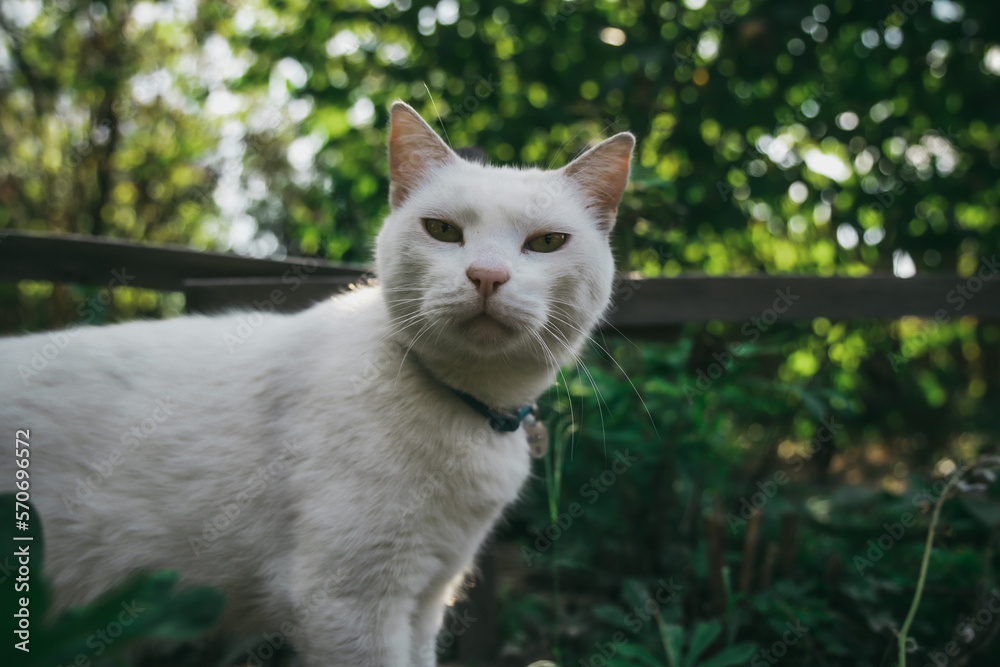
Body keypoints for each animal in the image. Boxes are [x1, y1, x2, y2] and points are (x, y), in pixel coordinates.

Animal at [0, 102, 632, 664]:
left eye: (546, 242)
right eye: (443, 231)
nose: (487, 276)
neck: (474, 411)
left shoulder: (427, 598)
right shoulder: (349, 606)